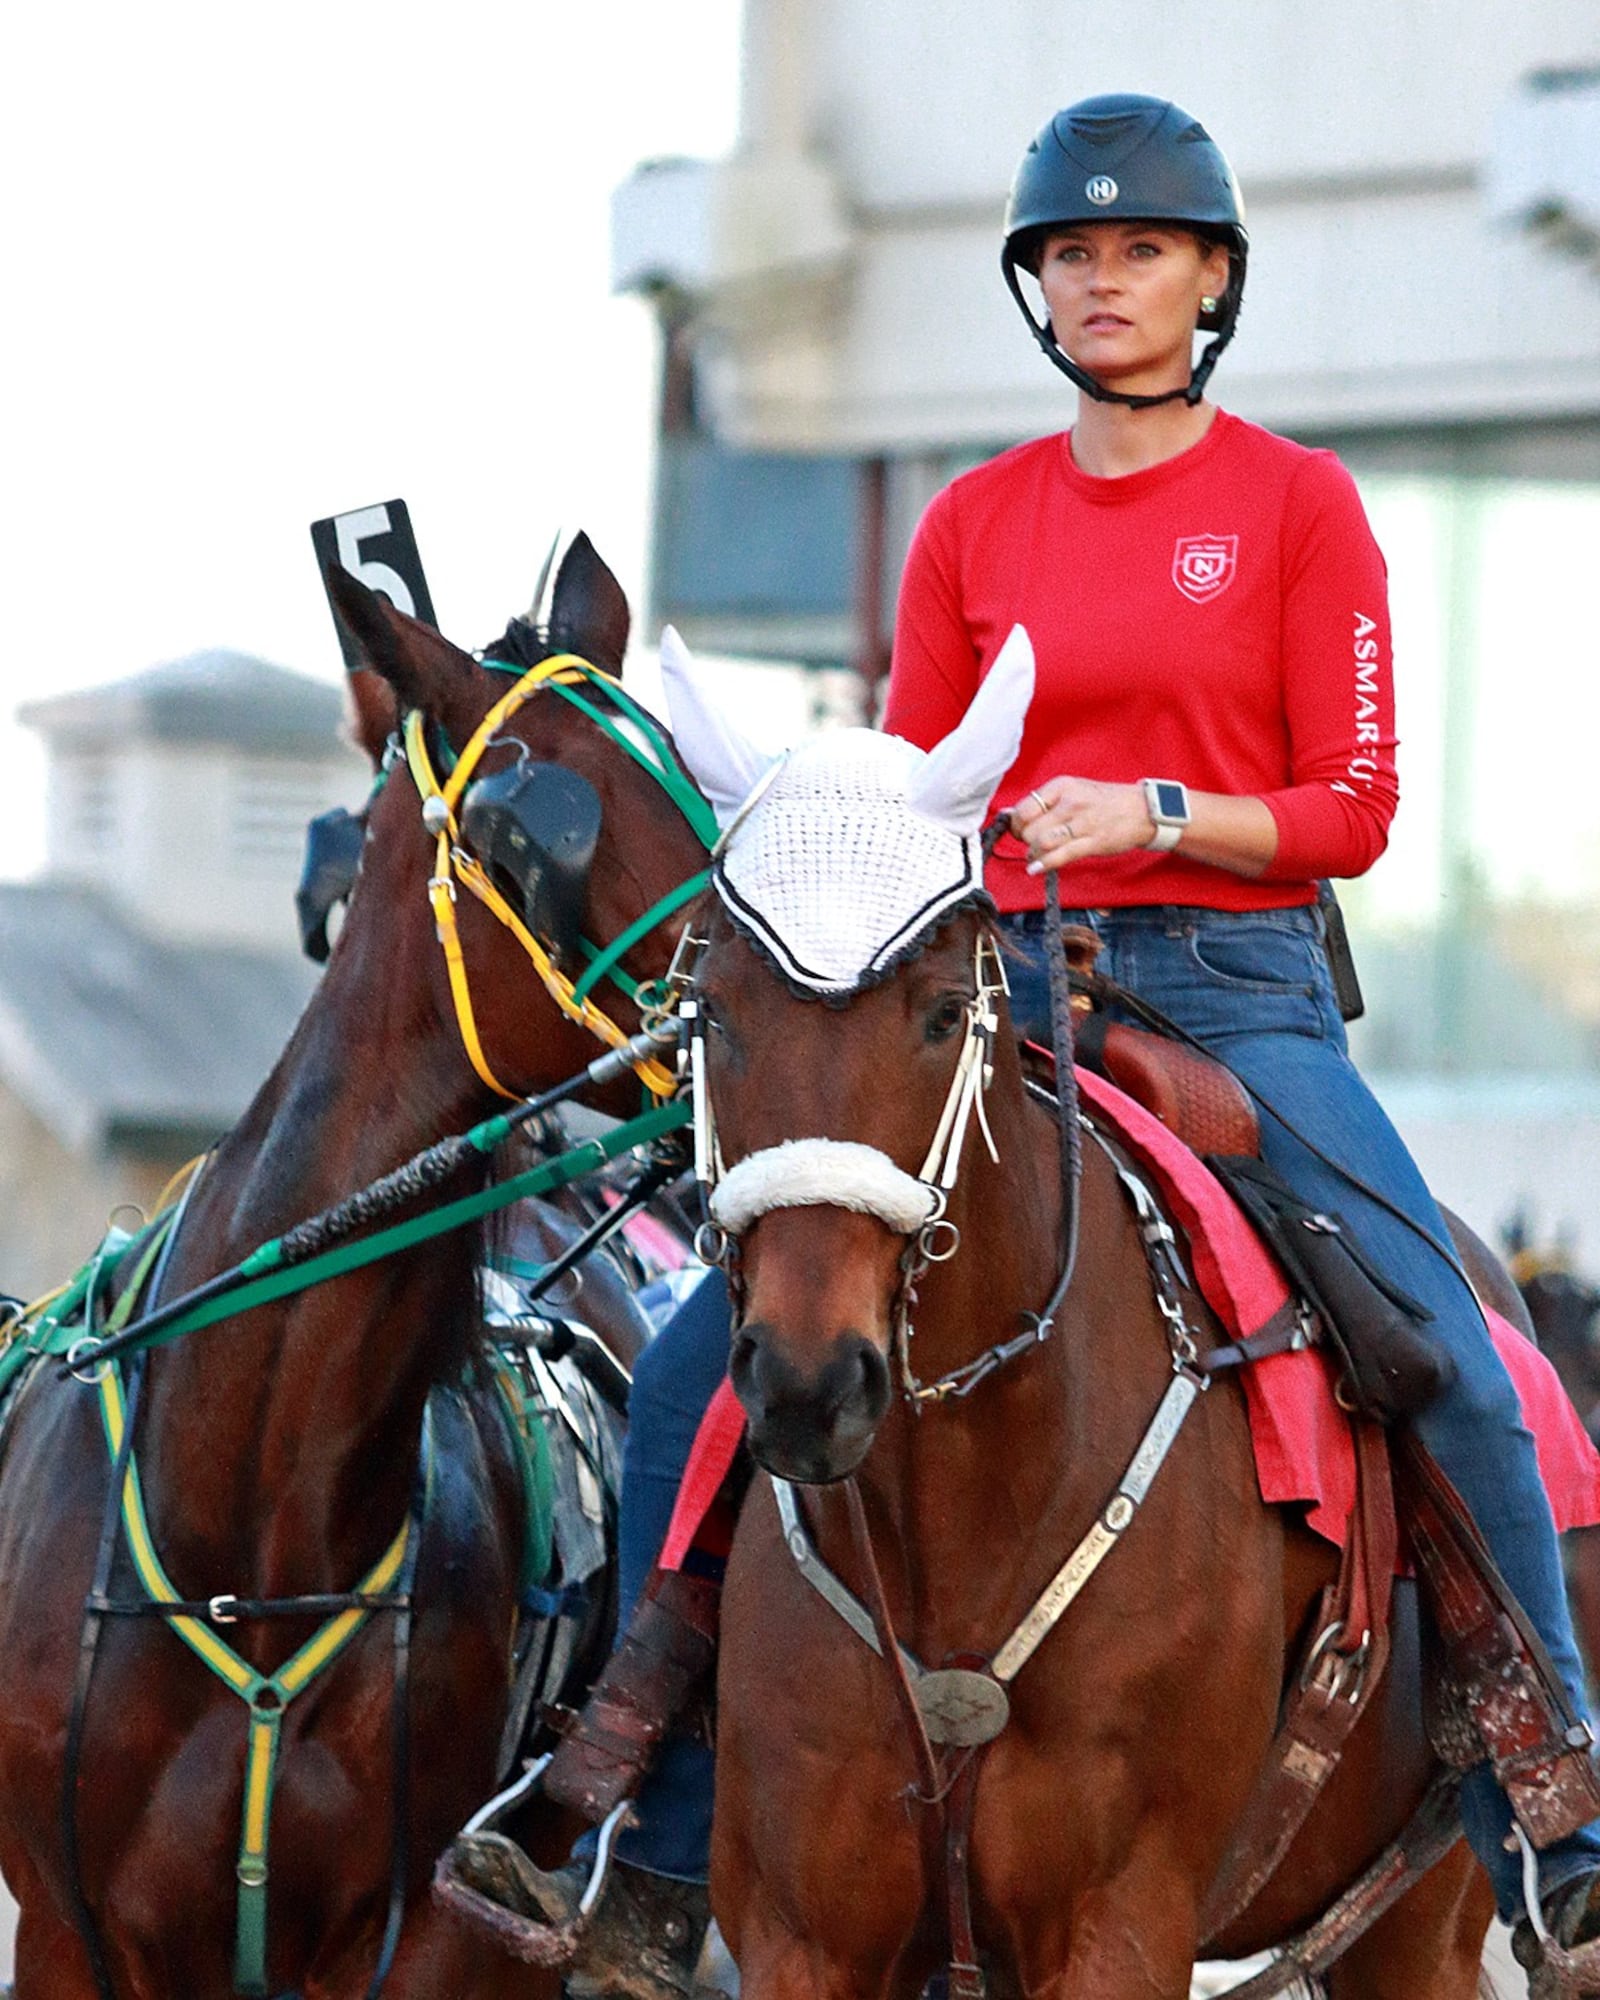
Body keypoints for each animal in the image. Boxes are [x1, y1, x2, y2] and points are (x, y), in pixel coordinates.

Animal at [652, 628, 1504, 2000]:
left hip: (1419, 1919)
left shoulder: (1120, 1920)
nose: (807, 1384)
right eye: (711, 1007)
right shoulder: (799, 1930)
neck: (967, 1510)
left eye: (944, 1009)